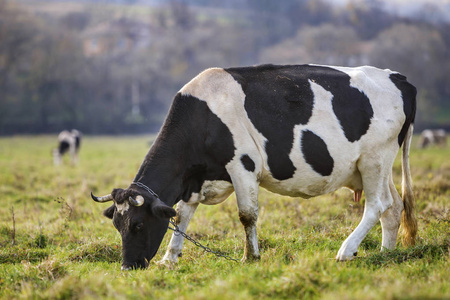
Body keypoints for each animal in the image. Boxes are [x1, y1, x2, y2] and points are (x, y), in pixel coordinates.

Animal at [91, 64, 418, 270]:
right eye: (117, 224)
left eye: (138, 224)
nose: (127, 267)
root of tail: (398, 77)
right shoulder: (196, 178)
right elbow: (182, 215)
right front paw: (169, 259)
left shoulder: (242, 165)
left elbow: (247, 215)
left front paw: (251, 257)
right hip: (374, 166)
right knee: (394, 206)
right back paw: (385, 253)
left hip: (375, 157)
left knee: (377, 204)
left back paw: (346, 250)